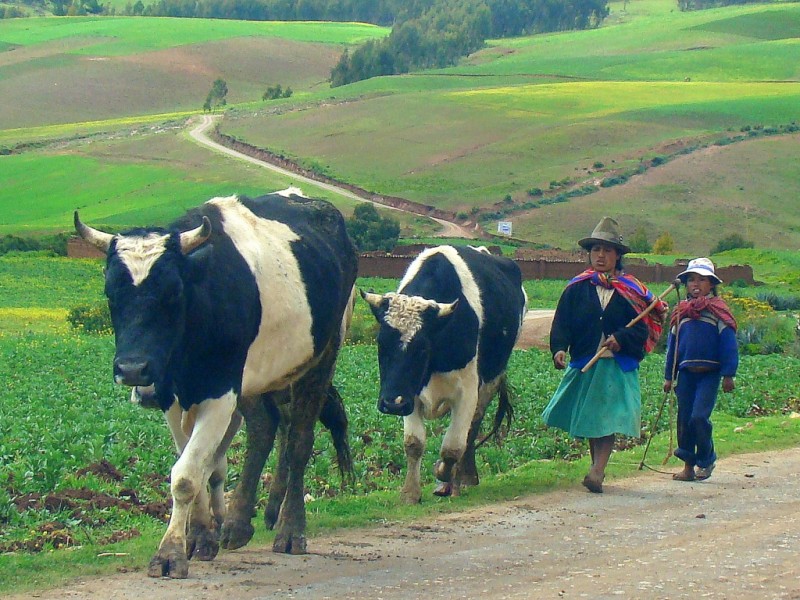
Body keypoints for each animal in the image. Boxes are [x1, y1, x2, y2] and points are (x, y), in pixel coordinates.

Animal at [74, 188, 356, 576]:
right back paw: (237, 524)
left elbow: (187, 475)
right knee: (265, 428)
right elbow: (198, 466)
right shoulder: (173, 397)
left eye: (172, 292)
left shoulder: (220, 393)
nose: (132, 369)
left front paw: (170, 553)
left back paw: (289, 530)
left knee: (298, 440)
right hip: (260, 373)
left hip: (320, 359)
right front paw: (200, 537)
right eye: (111, 294)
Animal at [360, 244, 524, 502]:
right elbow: (414, 443)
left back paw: (463, 478)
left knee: (472, 429)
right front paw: (410, 492)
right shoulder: (410, 394)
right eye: (381, 343)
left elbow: (452, 446)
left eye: (422, 348)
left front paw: (443, 475)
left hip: (490, 381)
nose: (392, 404)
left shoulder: (466, 392)